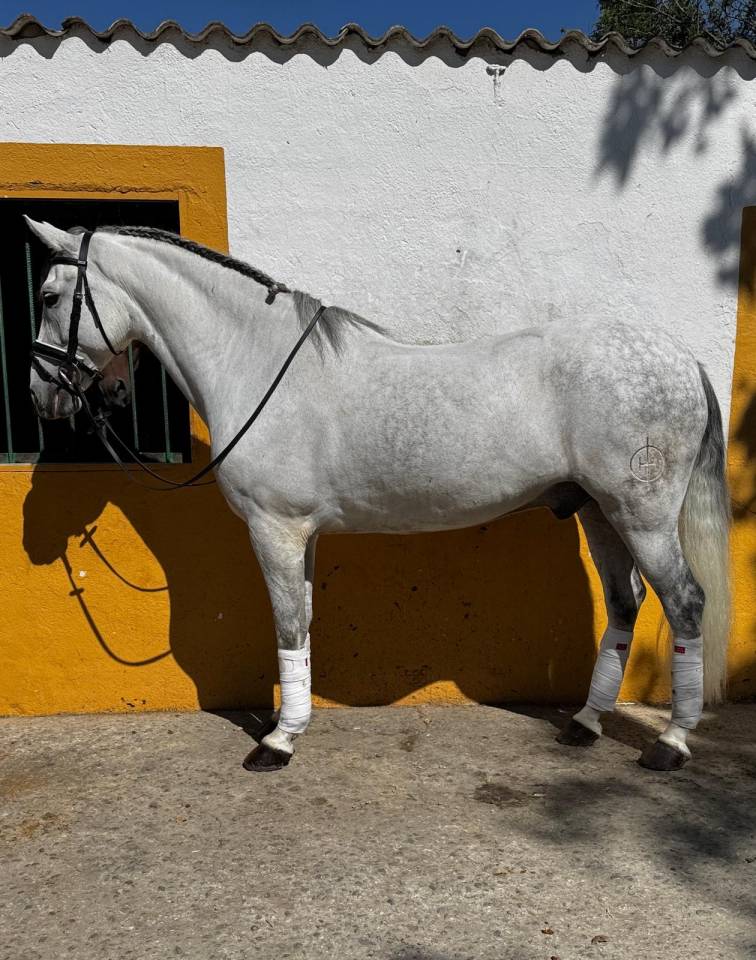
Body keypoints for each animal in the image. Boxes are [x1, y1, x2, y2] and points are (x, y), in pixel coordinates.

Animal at [25, 217, 731, 774]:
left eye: (50, 295)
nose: (42, 395)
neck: (255, 362)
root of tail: (680, 359)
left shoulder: (274, 528)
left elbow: (287, 623)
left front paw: (277, 742)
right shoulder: (299, 533)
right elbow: (304, 620)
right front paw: (292, 724)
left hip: (641, 516)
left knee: (684, 603)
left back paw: (670, 743)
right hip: (598, 512)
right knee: (624, 604)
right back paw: (583, 725)